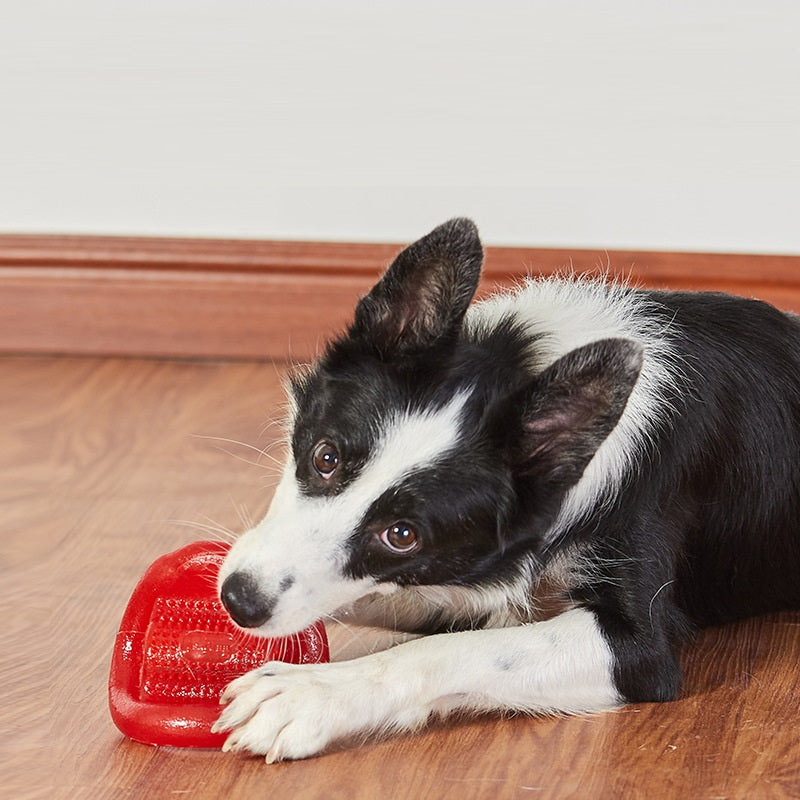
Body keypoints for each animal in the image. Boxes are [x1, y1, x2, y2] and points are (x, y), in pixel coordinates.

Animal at [211, 219, 800, 764]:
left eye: (402, 535)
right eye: (325, 457)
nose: (240, 601)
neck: (531, 359)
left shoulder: (637, 649)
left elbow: (457, 651)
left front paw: (312, 694)